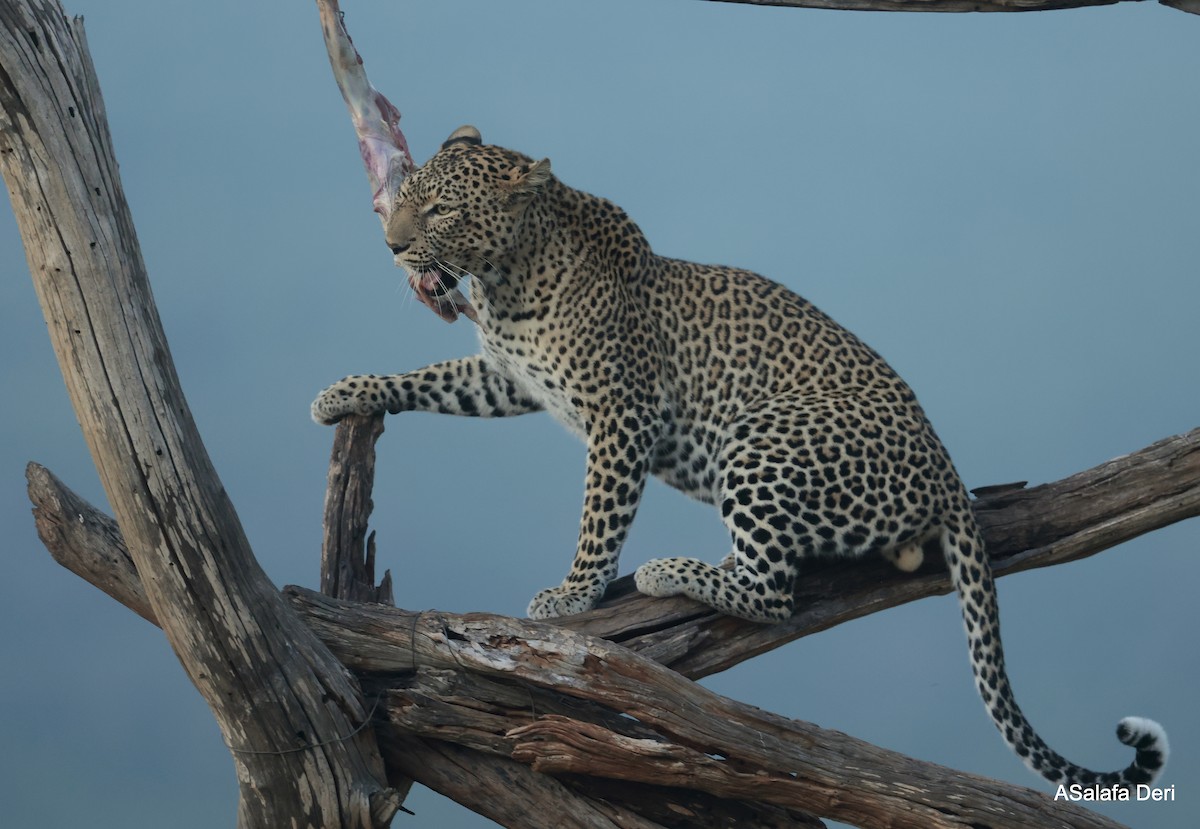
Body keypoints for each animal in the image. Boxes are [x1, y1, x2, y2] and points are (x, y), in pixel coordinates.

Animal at [312, 125, 1167, 789]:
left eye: (443, 209)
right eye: (412, 193)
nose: (392, 245)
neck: (506, 275)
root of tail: (950, 474)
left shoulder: (621, 416)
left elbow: (598, 516)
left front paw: (573, 593)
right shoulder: (508, 376)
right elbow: (430, 377)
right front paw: (345, 391)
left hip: (761, 437)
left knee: (773, 591)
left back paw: (670, 570)